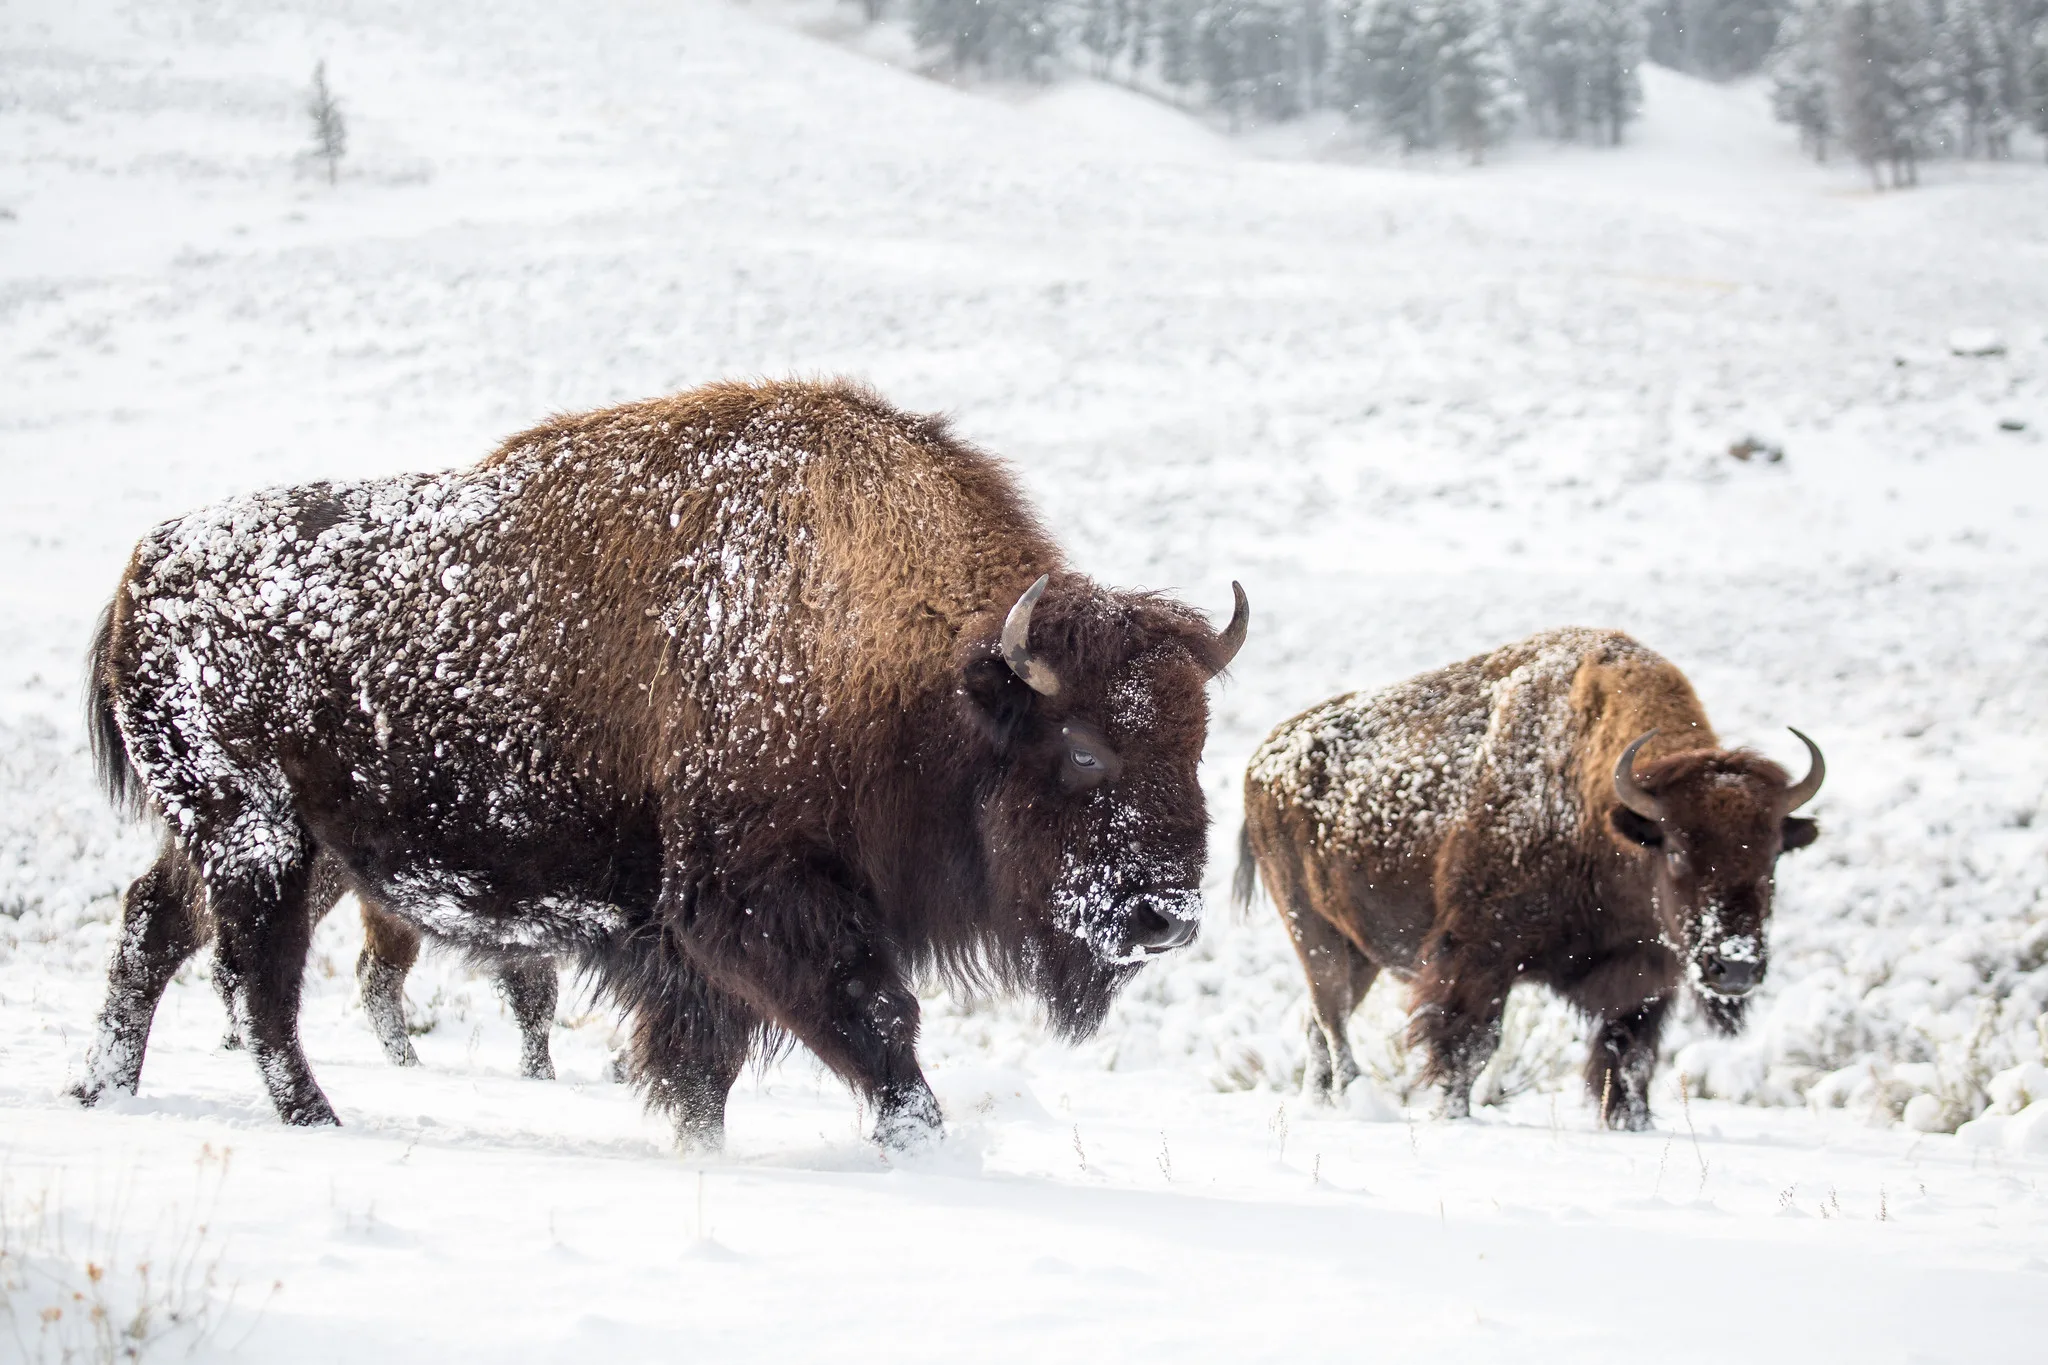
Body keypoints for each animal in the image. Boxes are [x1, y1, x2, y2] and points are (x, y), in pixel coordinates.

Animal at [75, 378, 1245, 1146]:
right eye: (1084, 750)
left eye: (1197, 745)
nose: (1164, 917)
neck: (909, 665)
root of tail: (146, 562)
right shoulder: (759, 906)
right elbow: (875, 1021)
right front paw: (915, 1143)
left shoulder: (701, 946)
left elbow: (705, 1068)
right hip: (256, 836)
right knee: (254, 978)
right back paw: (314, 1119)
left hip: (290, 847)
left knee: (154, 928)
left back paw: (102, 1092)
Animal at [1228, 630, 1826, 1129]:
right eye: (1677, 850)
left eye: (1773, 854)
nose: (1736, 967)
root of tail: (1263, 759)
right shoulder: (1479, 956)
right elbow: (1469, 1047)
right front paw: (1453, 1116)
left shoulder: (1647, 978)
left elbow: (1630, 1060)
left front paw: (1632, 1123)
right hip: (1313, 931)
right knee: (1331, 1019)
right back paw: (1358, 1099)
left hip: (1360, 952)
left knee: (1318, 1025)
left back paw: (1325, 1104)